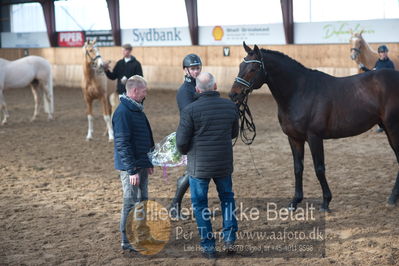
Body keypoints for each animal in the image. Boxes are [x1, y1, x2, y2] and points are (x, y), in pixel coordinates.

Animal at [230, 42, 399, 212]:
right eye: (240, 66)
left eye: (253, 69)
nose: (233, 95)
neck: (299, 92)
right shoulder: (294, 138)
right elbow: (298, 168)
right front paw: (294, 202)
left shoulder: (314, 137)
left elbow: (319, 168)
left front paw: (325, 202)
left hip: (392, 128)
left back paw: (392, 198)